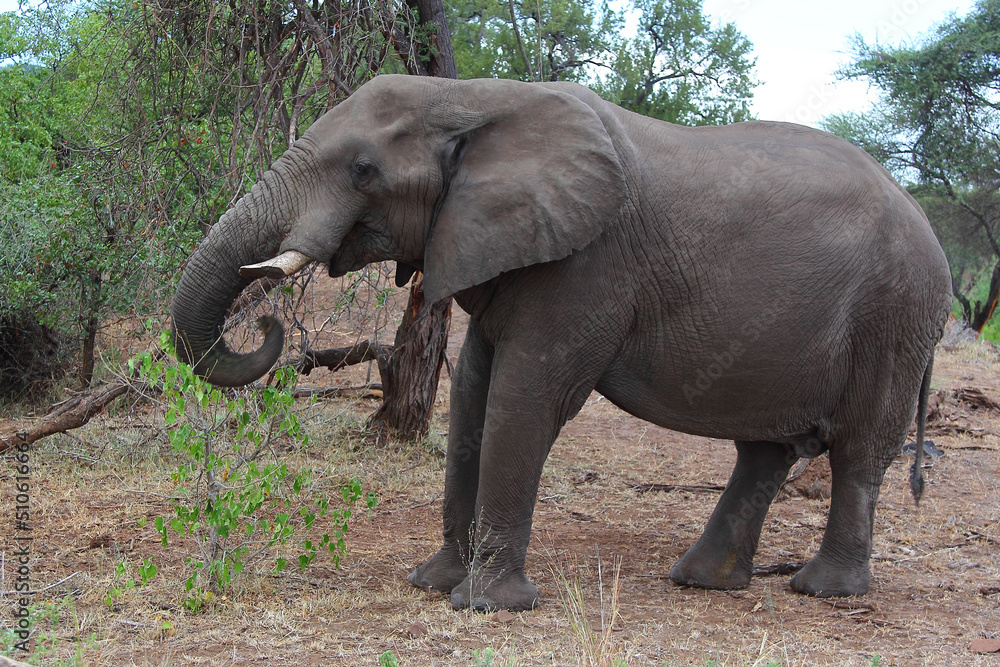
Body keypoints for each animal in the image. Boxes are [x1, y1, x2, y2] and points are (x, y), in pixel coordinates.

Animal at [170, 74, 952, 612]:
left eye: (363, 170)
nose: (269, 326)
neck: (478, 100)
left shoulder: (586, 264)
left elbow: (525, 398)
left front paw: (487, 605)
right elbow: (472, 394)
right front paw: (433, 583)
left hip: (896, 315)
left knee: (857, 451)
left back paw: (824, 590)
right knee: (765, 450)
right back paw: (702, 581)